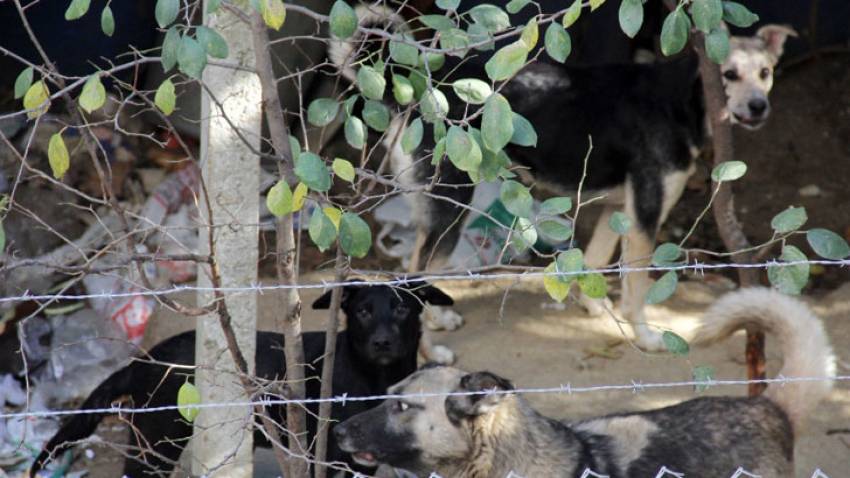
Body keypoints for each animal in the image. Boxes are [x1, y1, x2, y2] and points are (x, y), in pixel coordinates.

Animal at [30, 280, 454, 478]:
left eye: (401, 308)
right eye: (363, 311)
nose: (382, 341)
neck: (374, 375)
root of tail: (143, 361)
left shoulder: (361, 460)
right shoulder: (323, 455)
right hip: (155, 441)